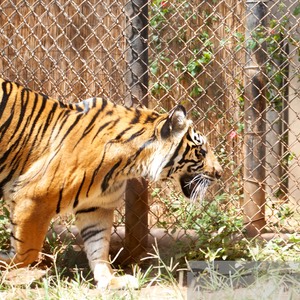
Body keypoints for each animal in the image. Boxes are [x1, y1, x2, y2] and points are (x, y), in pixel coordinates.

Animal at [0, 77, 220, 288]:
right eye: (202, 151)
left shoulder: (96, 206)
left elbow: (98, 246)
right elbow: (26, 253)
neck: (128, 164)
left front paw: (110, 280)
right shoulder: (32, 197)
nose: (219, 173)